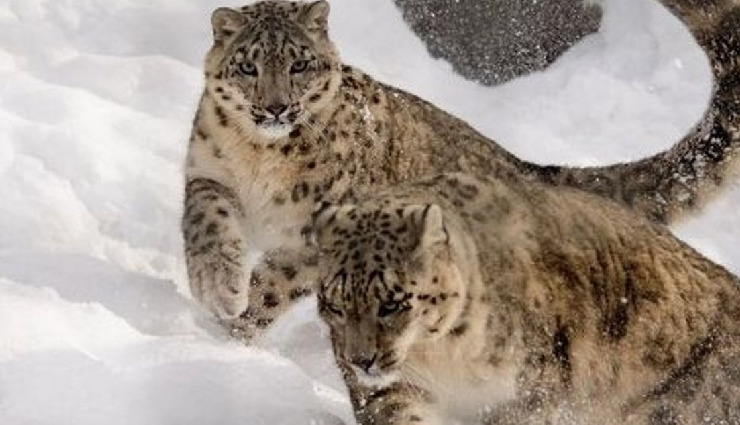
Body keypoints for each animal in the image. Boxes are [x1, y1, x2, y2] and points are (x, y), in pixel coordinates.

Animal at [181, 0, 740, 340]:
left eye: (299, 64)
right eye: (248, 66)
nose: (275, 108)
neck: (260, 158)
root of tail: (523, 166)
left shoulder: (317, 231)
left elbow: (274, 283)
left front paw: (233, 327)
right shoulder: (209, 172)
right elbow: (205, 223)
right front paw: (217, 287)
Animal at [310, 171, 740, 425]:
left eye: (392, 303)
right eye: (334, 304)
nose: (360, 360)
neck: (444, 357)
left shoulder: (528, 394)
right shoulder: (392, 391)